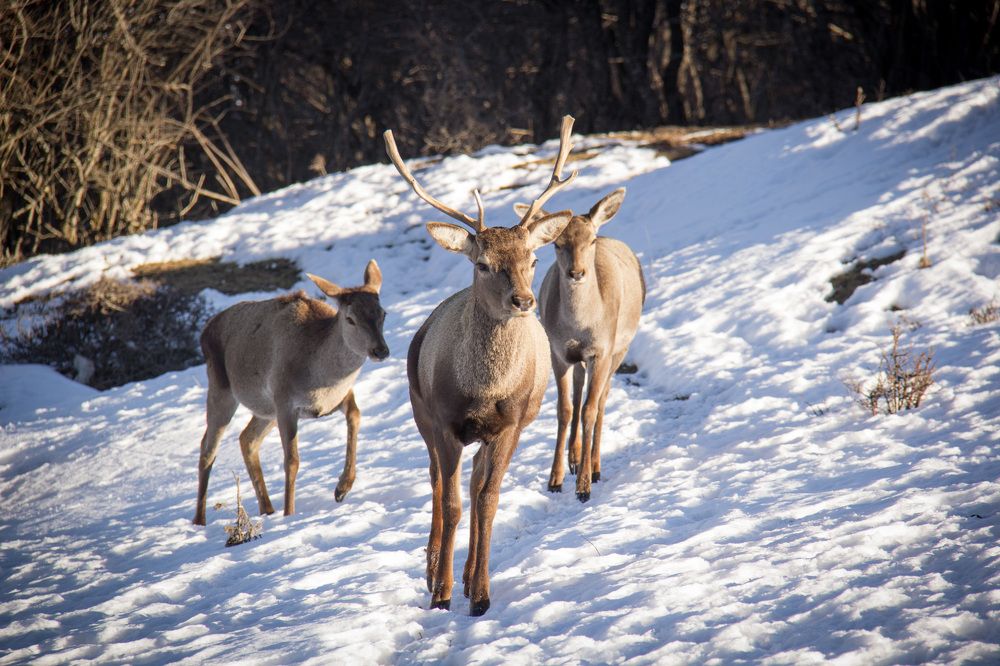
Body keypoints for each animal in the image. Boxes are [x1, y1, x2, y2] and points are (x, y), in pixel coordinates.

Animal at [192, 260, 389, 526]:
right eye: (350, 319)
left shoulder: (336, 399)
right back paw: (199, 521)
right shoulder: (285, 400)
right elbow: (292, 461)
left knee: (247, 439)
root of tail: (205, 330)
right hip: (221, 388)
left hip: (265, 409)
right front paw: (290, 514)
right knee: (208, 449)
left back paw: (267, 508)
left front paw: (342, 488)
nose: (380, 350)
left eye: (382, 313)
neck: (322, 380)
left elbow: (355, 416)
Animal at [383, 116, 578, 616]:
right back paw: (434, 571)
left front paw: (481, 595)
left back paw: (470, 578)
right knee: (437, 483)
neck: (483, 391)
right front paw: (442, 592)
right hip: (420, 411)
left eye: (533, 258)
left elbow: (488, 499)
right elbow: (451, 503)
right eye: (484, 264)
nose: (523, 301)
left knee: (472, 483)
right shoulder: (445, 421)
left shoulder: (511, 424)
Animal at [515, 188, 644, 503]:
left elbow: (589, 409)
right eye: (558, 244)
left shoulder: (602, 350)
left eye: (591, 241)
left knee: (601, 400)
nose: (576, 273)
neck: (579, 326)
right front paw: (555, 479)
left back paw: (594, 467)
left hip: (620, 348)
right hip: (580, 359)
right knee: (578, 393)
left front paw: (584, 486)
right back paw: (574, 458)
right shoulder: (558, 351)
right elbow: (565, 409)